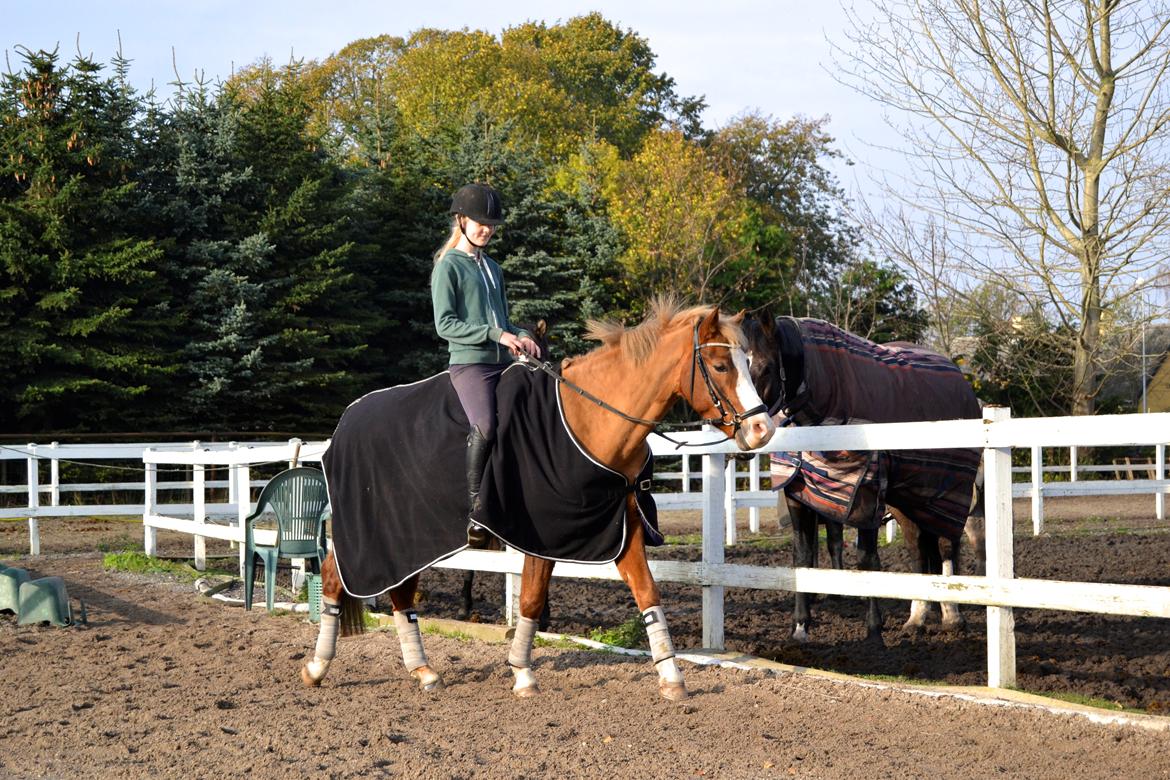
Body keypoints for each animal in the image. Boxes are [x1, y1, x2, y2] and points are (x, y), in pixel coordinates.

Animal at [301, 301, 776, 701]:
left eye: (749, 364)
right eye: (720, 365)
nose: (762, 431)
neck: (587, 421)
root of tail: (344, 423)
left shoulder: (621, 530)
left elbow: (647, 595)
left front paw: (672, 677)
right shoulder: (539, 533)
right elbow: (530, 599)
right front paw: (523, 673)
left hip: (408, 540)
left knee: (400, 594)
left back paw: (423, 671)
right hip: (374, 537)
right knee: (334, 577)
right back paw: (318, 666)